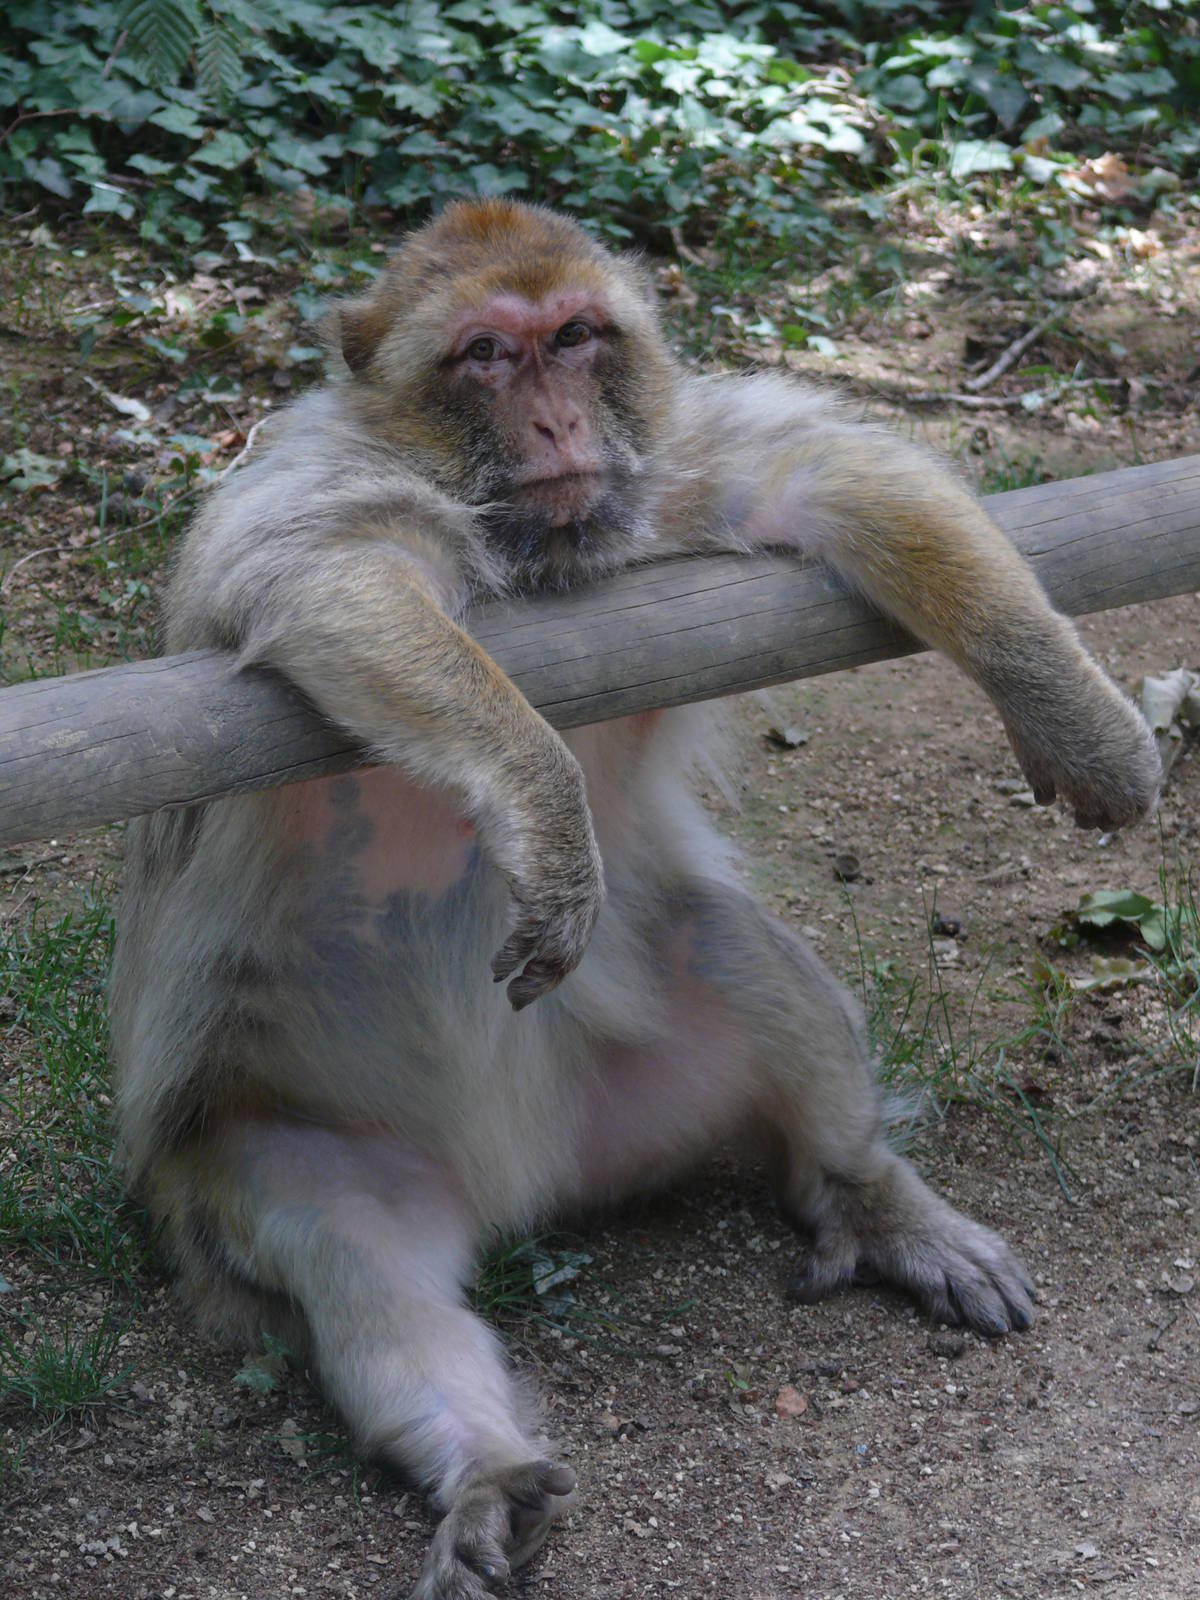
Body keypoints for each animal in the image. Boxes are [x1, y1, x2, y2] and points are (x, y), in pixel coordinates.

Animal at [108, 200, 1160, 1600]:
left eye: (576, 339)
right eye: (487, 356)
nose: (558, 424)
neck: (543, 553)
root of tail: (527, 1185)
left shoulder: (665, 460)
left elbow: (838, 472)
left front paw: (1075, 716)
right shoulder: (328, 478)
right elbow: (332, 576)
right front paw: (548, 815)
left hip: (652, 1084)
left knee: (742, 965)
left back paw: (873, 1197)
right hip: (281, 1143)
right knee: (367, 1275)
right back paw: (483, 1465)